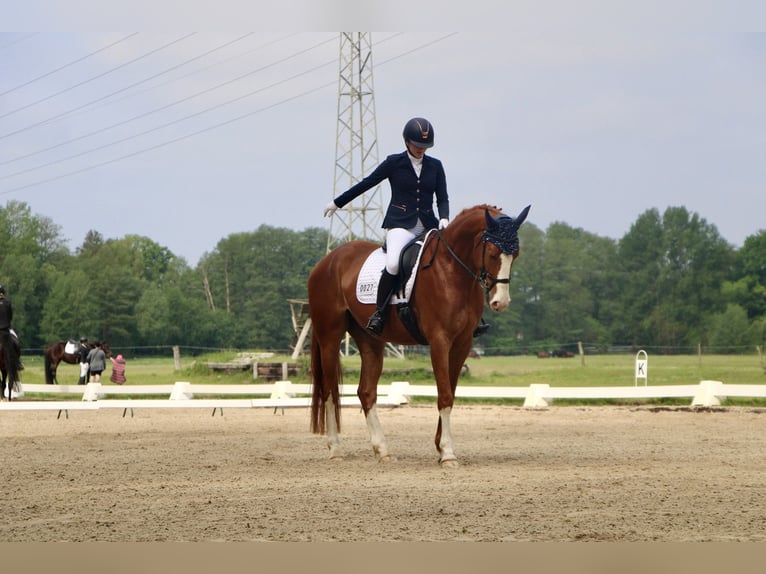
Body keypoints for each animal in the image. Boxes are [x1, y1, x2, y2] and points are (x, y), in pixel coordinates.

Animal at [308, 203, 531, 467]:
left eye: (515, 254)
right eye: (494, 253)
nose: (500, 302)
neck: (452, 270)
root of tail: (326, 260)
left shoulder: (462, 343)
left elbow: (450, 393)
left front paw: (440, 447)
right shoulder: (439, 340)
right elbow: (444, 395)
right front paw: (447, 453)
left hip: (370, 340)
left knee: (366, 392)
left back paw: (383, 451)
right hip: (330, 338)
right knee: (329, 391)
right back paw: (335, 449)